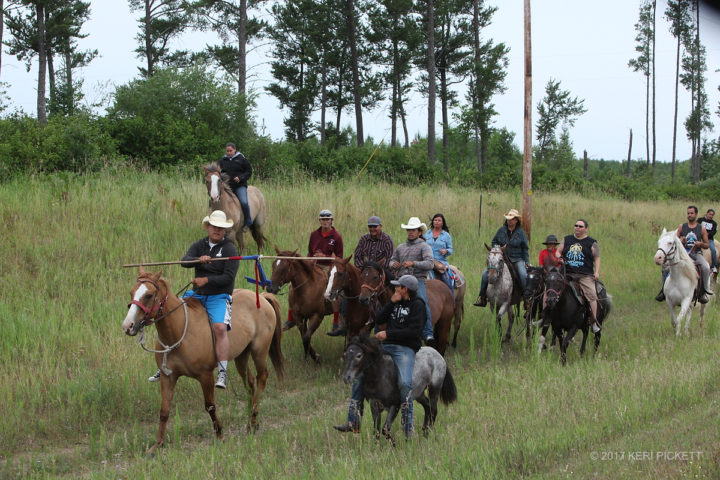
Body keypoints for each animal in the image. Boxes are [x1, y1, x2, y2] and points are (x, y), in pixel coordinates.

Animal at [122, 268, 282, 456]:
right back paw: (251, 422)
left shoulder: (205, 376)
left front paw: (219, 435)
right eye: (132, 292)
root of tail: (261, 297)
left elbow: (210, 406)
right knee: (250, 383)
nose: (128, 326)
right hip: (241, 355)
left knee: (262, 377)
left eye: (148, 295)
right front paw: (157, 444)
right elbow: (164, 410)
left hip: (259, 350)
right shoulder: (168, 377)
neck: (179, 331)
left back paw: (253, 419)